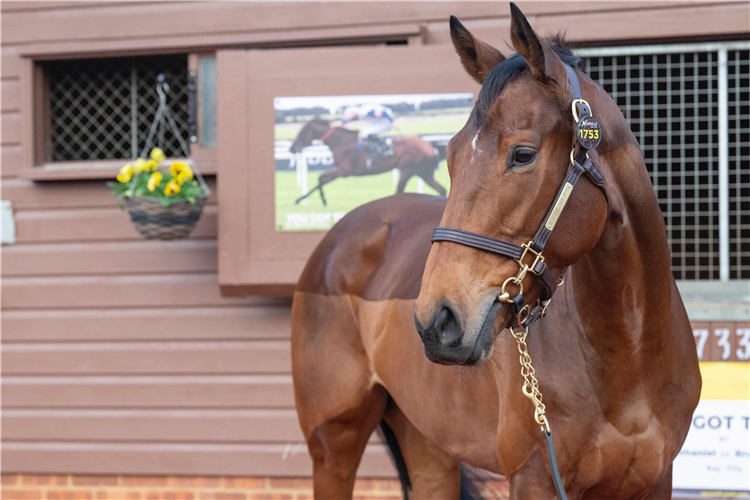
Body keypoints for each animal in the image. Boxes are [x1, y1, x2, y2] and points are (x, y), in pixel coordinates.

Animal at [290, 118, 450, 204]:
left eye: (301, 132)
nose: (291, 148)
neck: (340, 142)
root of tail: (429, 144)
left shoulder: (343, 171)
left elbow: (321, 178)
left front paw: (314, 200)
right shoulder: (341, 171)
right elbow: (321, 178)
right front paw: (303, 199)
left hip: (407, 170)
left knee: (399, 192)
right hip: (423, 172)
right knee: (442, 190)